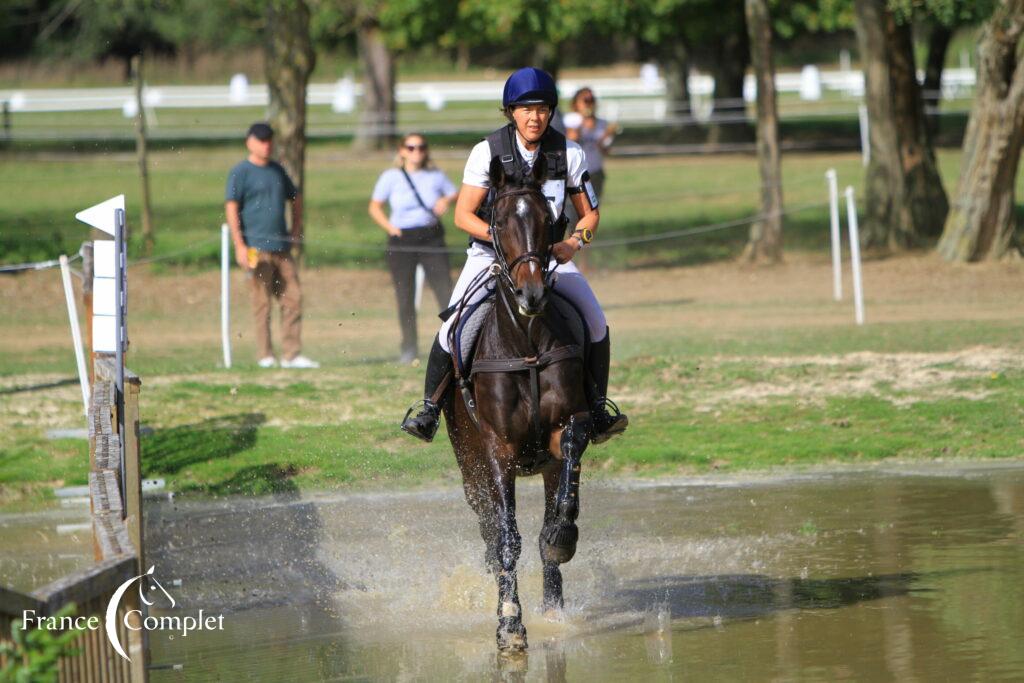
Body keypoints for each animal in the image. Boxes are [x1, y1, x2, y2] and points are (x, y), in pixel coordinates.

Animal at [440, 153, 593, 651]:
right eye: (500, 220)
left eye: (548, 219)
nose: (532, 294)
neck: (525, 342)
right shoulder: (497, 451)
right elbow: (507, 538)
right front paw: (509, 625)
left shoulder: (566, 429)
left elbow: (563, 497)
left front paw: (562, 537)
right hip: (470, 468)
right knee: (490, 532)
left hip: (540, 469)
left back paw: (553, 606)